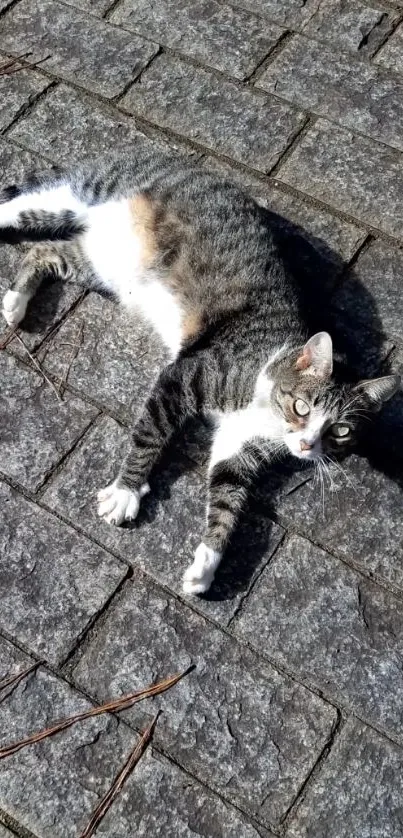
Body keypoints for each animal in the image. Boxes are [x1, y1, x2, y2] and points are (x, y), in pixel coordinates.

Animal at [0, 149, 400, 596]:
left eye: (341, 431)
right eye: (301, 406)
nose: (307, 445)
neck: (266, 392)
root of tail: (175, 159)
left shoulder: (239, 450)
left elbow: (228, 500)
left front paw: (206, 563)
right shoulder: (185, 375)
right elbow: (151, 433)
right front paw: (126, 491)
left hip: (99, 264)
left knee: (44, 252)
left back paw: (16, 301)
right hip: (82, 194)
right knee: (20, 206)